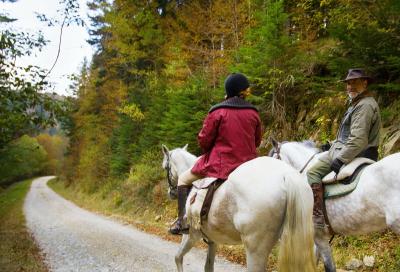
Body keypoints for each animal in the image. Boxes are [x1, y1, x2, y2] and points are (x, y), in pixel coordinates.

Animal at [161, 146, 318, 272]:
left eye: (165, 167)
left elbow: (177, 257)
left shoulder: (192, 235)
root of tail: (286, 175)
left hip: (255, 248)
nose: (170, 193)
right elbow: (208, 267)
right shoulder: (212, 240)